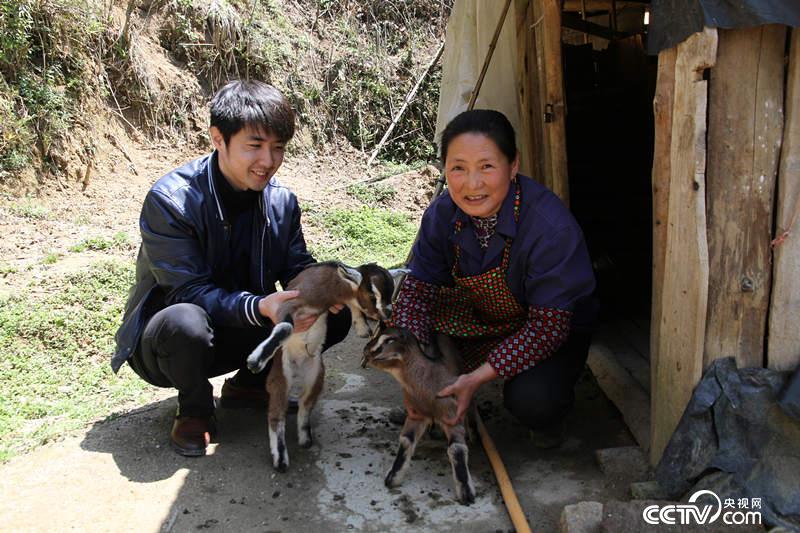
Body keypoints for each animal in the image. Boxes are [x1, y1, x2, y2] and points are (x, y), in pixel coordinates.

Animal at [247, 262, 404, 470]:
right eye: (372, 296)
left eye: (391, 293)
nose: (387, 313)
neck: (326, 290)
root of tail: (298, 364)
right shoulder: (287, 304)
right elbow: (285, 327)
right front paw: (255, 360)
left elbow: (353, 305)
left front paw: (362, 328)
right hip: (281, 375)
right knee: (276, 414)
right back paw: (280, 459)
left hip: (316, 373)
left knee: (305, 403)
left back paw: (305, 439)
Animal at [360, 324, 476, 502]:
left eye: (390, 340)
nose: (366, 350)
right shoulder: (416, 415)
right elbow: (406, 440)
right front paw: (393, 477)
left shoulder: (452, 416)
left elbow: (456, 448)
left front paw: (466, 492)